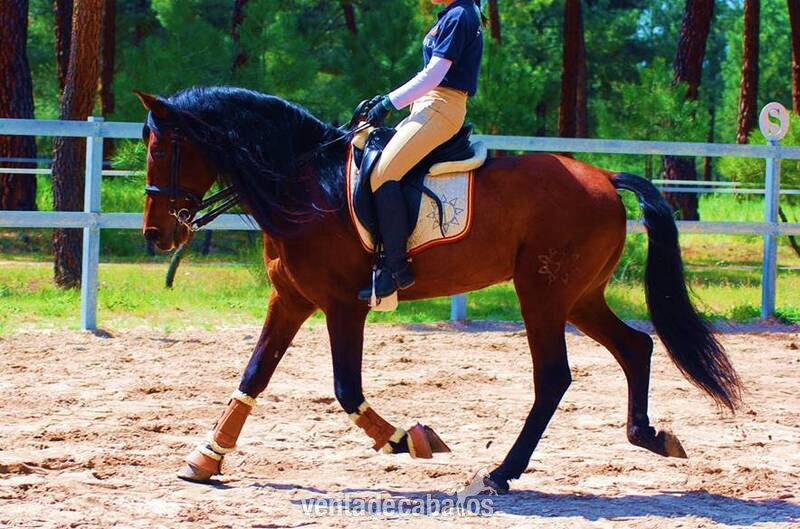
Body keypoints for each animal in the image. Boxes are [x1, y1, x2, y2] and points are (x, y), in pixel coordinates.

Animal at [134, 86, 741, 494]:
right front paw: (205, 460)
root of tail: (604, 179)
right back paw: (648, 435)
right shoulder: (291, 299)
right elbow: (253, 377)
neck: (308, 185)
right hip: (579, 297)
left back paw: (502, 472)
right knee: (636, 346)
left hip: (543, 295)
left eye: (162, 151)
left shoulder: (342, 305)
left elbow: (346, 389)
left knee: (554, 376)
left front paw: (409, 438)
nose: (156, 235)